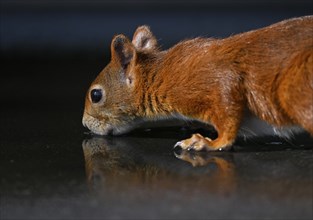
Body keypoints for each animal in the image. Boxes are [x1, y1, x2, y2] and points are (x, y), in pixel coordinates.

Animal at [82, 16, 312, 151]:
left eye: (96, 95)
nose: (84, 124)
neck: (162, 75)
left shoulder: (215, 81)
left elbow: (229, 117)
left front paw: (209, 142)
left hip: (295, 91)